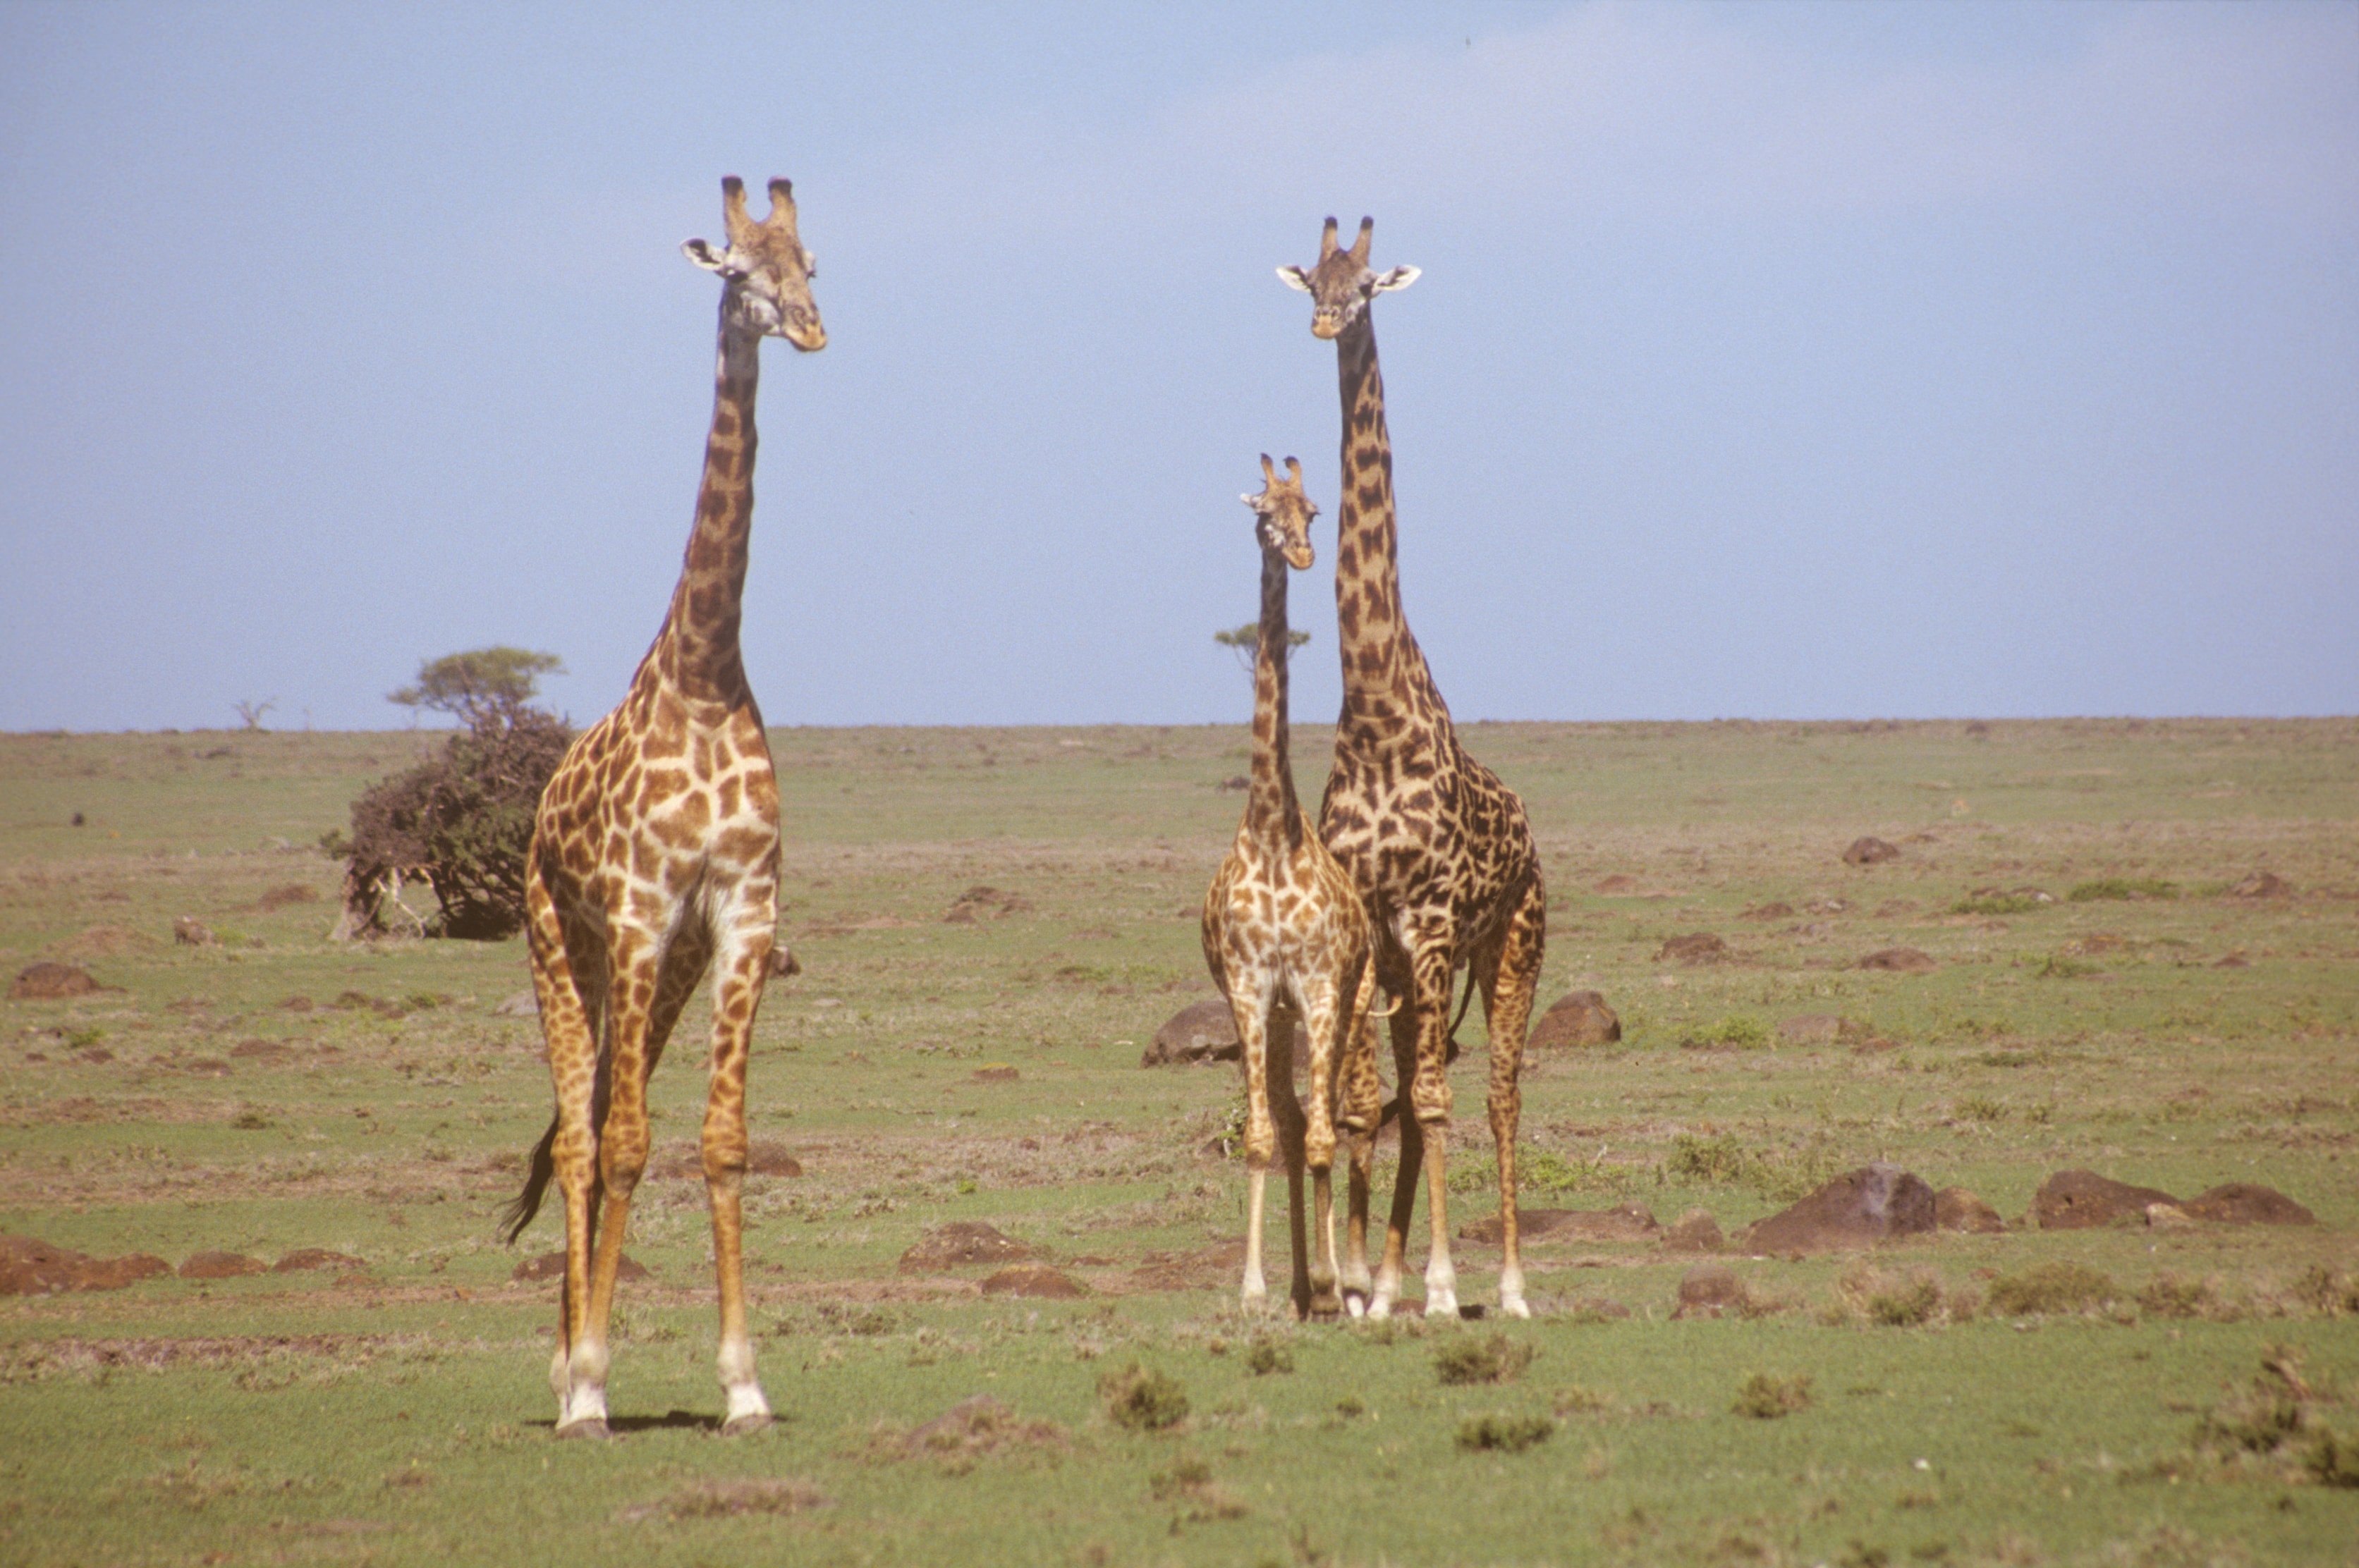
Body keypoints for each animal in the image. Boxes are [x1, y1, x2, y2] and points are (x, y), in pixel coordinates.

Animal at [498, 175, 825, 1438]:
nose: (809, 330)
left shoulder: (739, 916)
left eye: (812, 266)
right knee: (585, 1141)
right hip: (564, 945)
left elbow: (722, 1142)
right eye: (738, 272)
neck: (705, 670)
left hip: (664, 968)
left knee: (588, 1120)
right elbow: (630, 1143)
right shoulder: (638, 913)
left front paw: (743, 1384)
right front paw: (594, 1382)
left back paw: (563, 1362)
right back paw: (567, 1381)